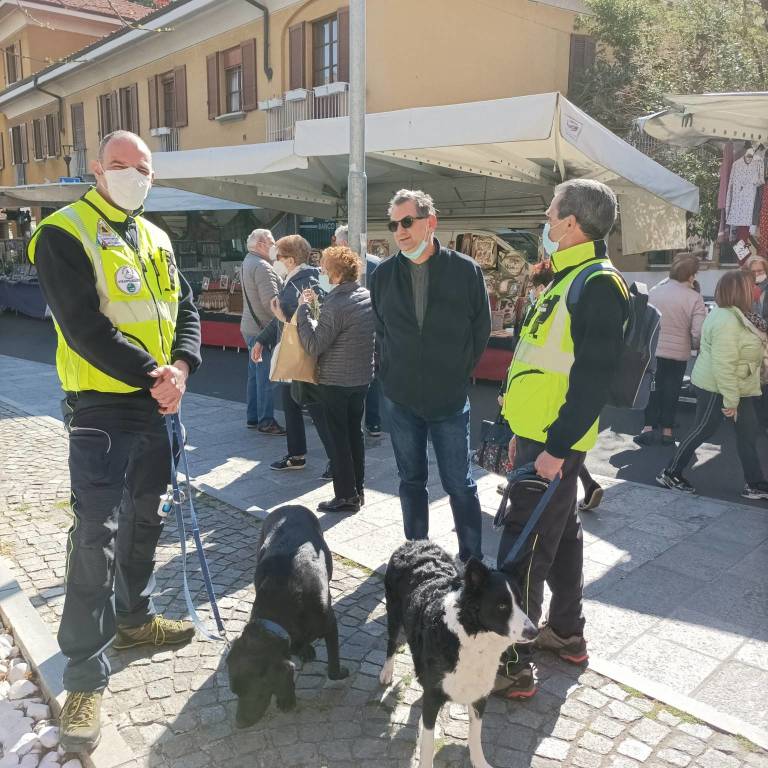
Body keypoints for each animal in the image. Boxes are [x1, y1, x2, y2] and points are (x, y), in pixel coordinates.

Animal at [226, 504, 350, 728]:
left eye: (255, 691)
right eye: (235, 691)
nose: (239, 723)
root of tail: (291, 506)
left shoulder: (330, 624)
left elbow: (333, 665)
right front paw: (287, 699)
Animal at [380, 540, 536, 768]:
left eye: (521, 603)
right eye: (501, 606)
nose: (534, 631)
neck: (472, 638)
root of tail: (415, 542)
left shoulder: (479, 695)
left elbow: (475, 735)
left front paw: (480, 762)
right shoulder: (433, 697)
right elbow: (427, 742)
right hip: (393, 613)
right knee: (391, 643)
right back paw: (387, 672)